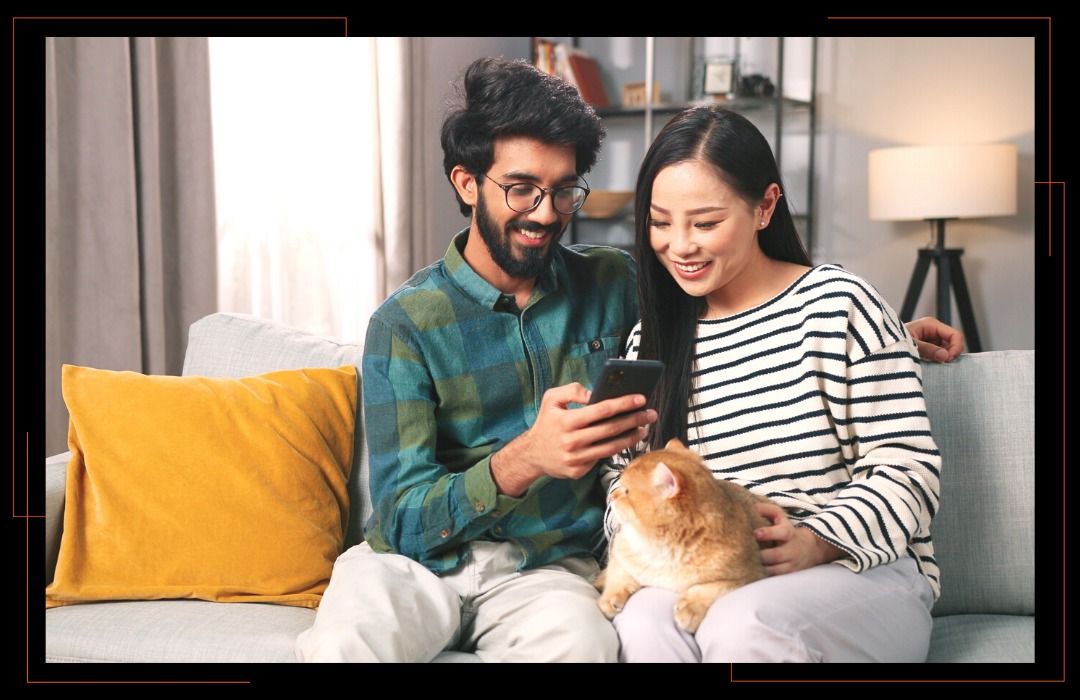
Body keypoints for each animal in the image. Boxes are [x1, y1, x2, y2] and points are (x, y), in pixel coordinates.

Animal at [596, 440, 773, 630]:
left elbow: (714, 588)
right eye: (618, 486)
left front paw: (690, 607)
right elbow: (617, 574)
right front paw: (610, 598)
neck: (661, 549)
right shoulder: (620, 552)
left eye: (627, 491)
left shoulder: (753, 574)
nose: (612, 496)